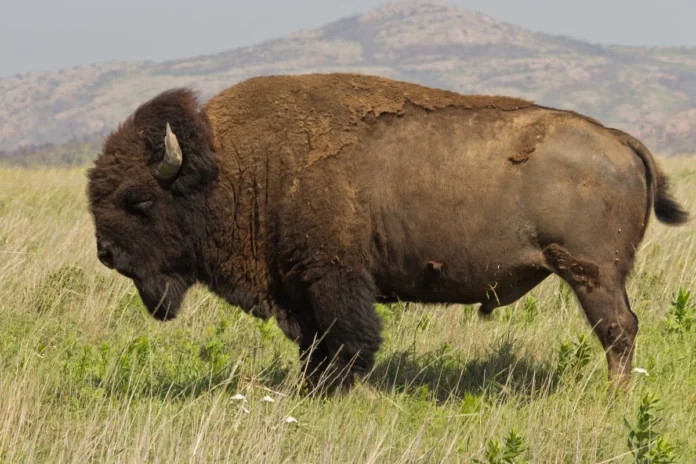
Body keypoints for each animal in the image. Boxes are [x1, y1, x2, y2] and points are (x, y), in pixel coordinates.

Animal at [88, 73, 688, 392]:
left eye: (137, 199)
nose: (106, 253)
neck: (235, 166)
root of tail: (617, 138)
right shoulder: (299, 289)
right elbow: (312, 346)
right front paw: (308, 391)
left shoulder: (333, 281)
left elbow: (348, 342)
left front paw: (332, 393)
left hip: (592, 275)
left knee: (618, 330)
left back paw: (614, 396)